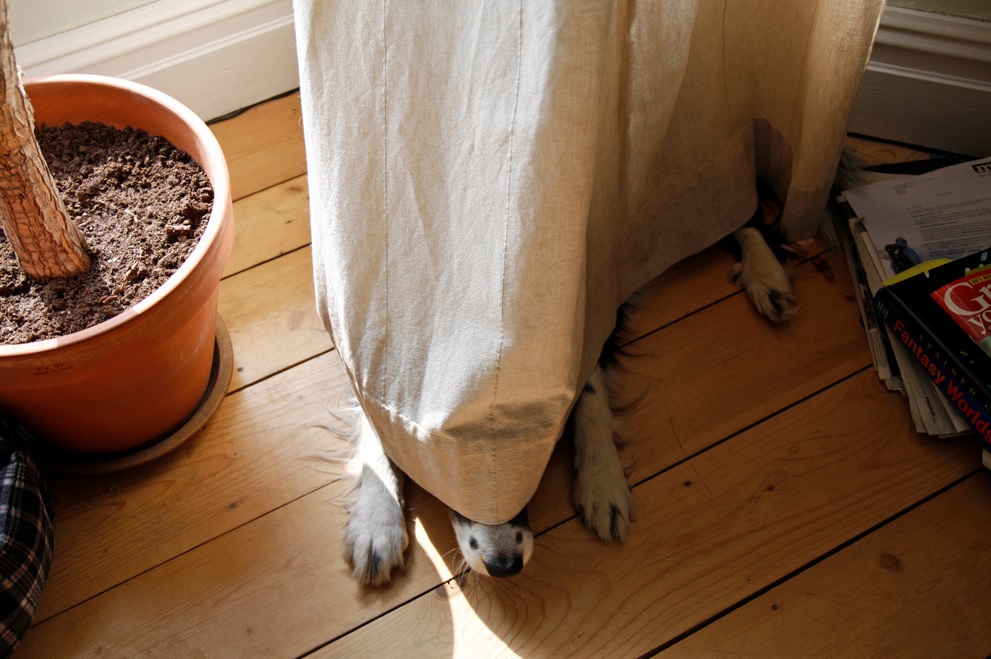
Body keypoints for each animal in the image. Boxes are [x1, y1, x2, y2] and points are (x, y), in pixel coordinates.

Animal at [344, 224, 796, 584]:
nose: (506, 566)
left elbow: (589, 386)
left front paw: (601, 479)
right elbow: (376, 417)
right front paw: (376, 523)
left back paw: (767, 276)